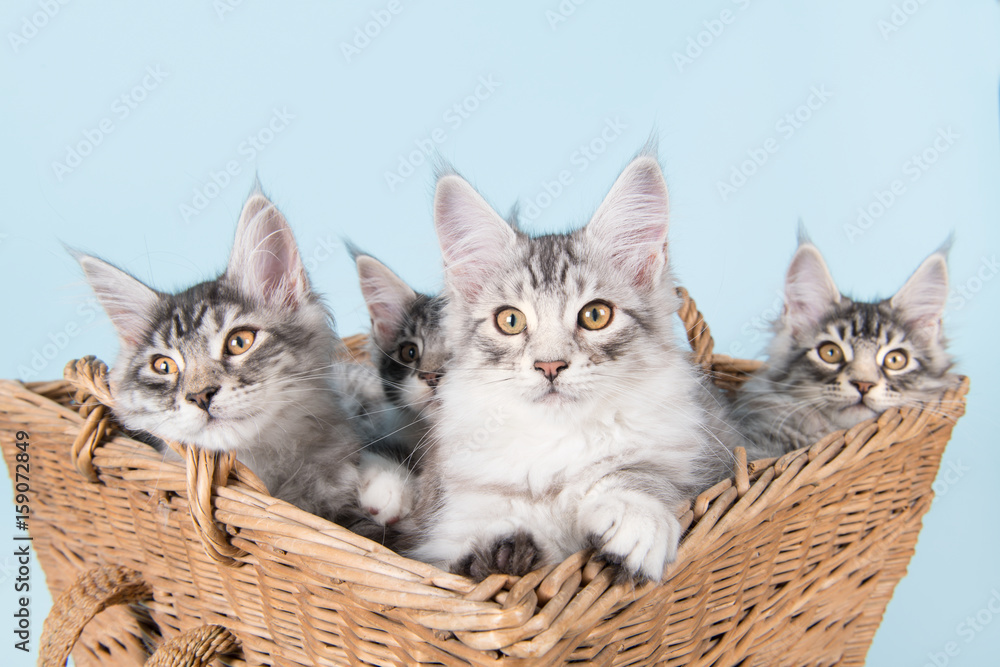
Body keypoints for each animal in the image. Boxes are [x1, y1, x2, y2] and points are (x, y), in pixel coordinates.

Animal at [402, 154, 740, 580]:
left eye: (595, 315)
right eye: (510, 321)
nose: (550, 365)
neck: (557, 444)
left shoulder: (703, 457)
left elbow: (640, 473)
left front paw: (637, 516)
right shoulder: (445, 529)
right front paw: (504, 556)